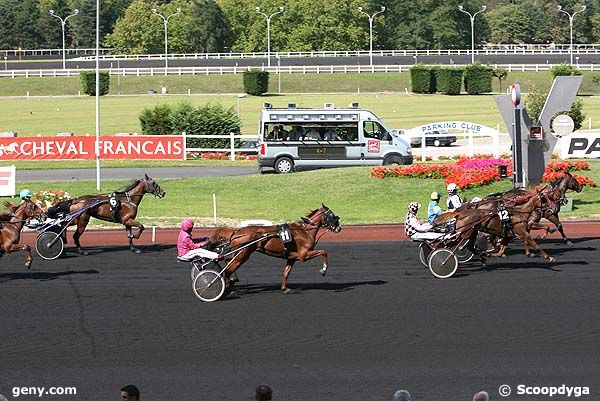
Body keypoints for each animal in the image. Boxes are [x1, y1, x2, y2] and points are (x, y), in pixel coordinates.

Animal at [210, 205, 342, 292]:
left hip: (239, 254)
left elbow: (286, 272)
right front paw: (323, 270)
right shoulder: (304, 255)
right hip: (243, 254)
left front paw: (284, 288)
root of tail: (237, 231)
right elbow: (323, 252)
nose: (339, 227)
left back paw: (232, 281)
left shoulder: (292, 257)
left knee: (228, 262)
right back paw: (226, 286)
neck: (304, 230)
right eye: (331, 214)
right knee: (227, 270)